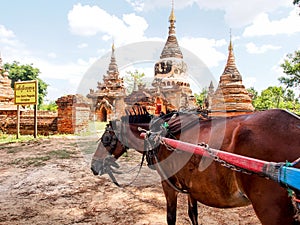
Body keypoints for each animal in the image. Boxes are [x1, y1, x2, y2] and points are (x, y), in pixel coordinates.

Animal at [91, 108, 300, 224]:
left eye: (106, 138)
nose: (94, 165)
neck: (157, 134)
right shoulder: (191, 186)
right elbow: (193, 214)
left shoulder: (168, 183)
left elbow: (171, 217)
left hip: (272, 210)